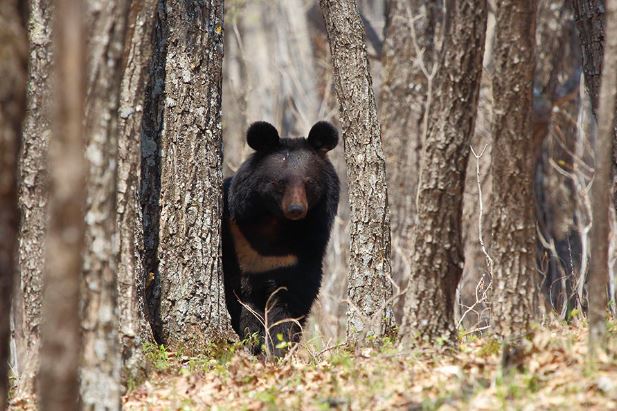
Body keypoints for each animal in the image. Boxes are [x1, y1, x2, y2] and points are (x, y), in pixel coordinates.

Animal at [221, 120, 340, 358]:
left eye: (309, 182)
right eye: (279, 182)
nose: (296, 209)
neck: (275, 222)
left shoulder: (302, 251)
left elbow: (292, 300)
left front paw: (279, 349)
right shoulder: (236, 239)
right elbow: (242, 302)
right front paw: (254, 343)